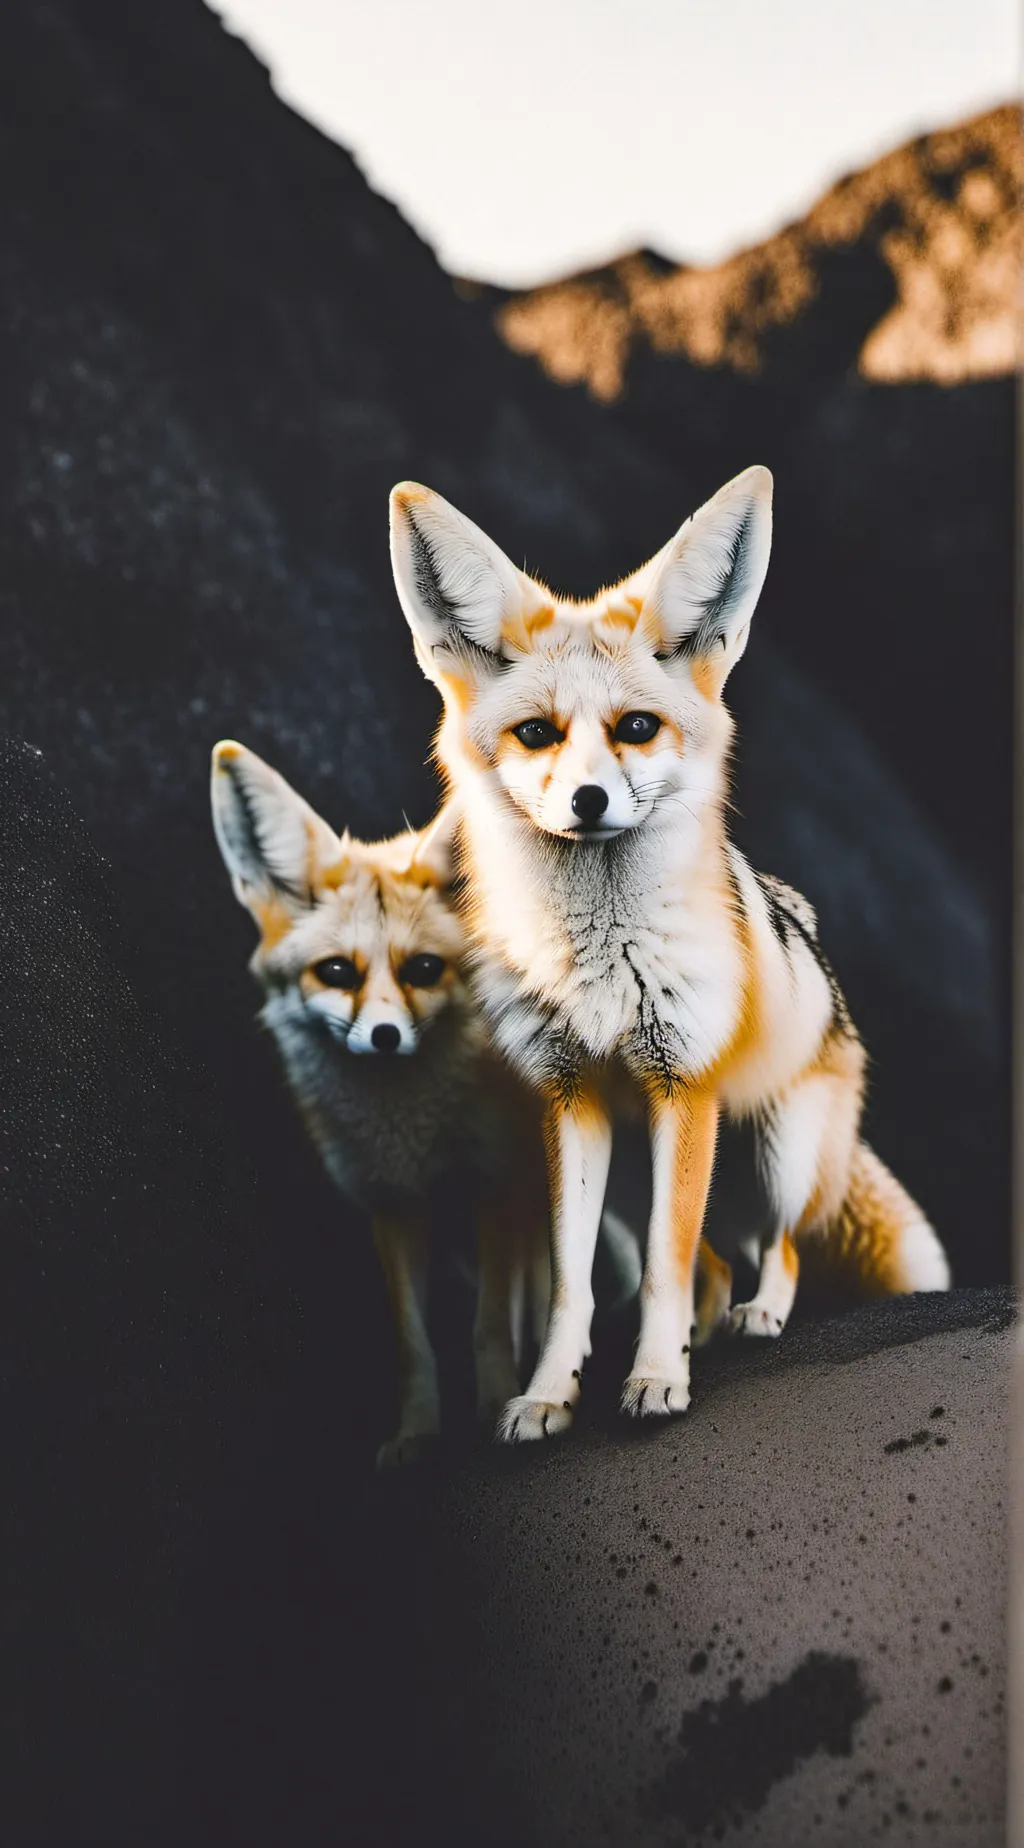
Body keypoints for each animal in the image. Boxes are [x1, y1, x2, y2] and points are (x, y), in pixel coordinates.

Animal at [210, 739, 554, 1466]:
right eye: (337, 972)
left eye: (423, 969)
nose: (386, 1036)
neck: (409, 1135)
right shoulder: (391, 1203)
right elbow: (412, 1344)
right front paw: (418, 1433)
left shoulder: (491, 1181)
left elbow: (487, 1322)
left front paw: (493, 1408)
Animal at [387, 464, 951, 1442]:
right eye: (537, 734)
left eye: (637, 728)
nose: (588, 800)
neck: (601, 971)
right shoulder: (571, 1100)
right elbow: (575, 1284)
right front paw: (549, 1393)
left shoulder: (682, 1088)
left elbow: (664, 1262)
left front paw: (655, 1380)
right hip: (643, 1166)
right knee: (716, 1261)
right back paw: (708, 1327)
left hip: (773, 1159)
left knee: (778, 1249)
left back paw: (755, 1318)